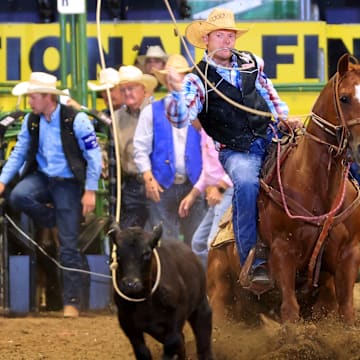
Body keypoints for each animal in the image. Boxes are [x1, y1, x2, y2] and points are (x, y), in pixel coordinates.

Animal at [207, 54, 360, 326]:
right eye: (344, 97)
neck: (317, 186)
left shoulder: (347, 257)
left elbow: (348, 314)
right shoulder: (282, 253)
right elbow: (290, 312)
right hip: (219, 295)